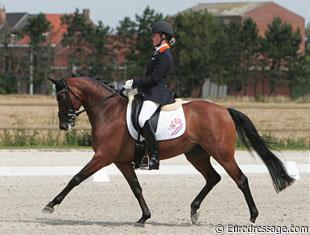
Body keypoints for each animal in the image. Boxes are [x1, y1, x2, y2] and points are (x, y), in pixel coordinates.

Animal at [43, 76, 294, 225]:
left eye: (62, 97)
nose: (64, 125)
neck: (108, 111)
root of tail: (224, 110)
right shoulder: (121, 161)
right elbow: (136, 187)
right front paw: (144, 217)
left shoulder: (103, 157)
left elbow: (76, 178)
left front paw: (50, 205)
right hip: (196, 154)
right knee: (213, 178)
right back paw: (194, 211)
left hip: (222, 154)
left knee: (240, 179)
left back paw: (252, 216)